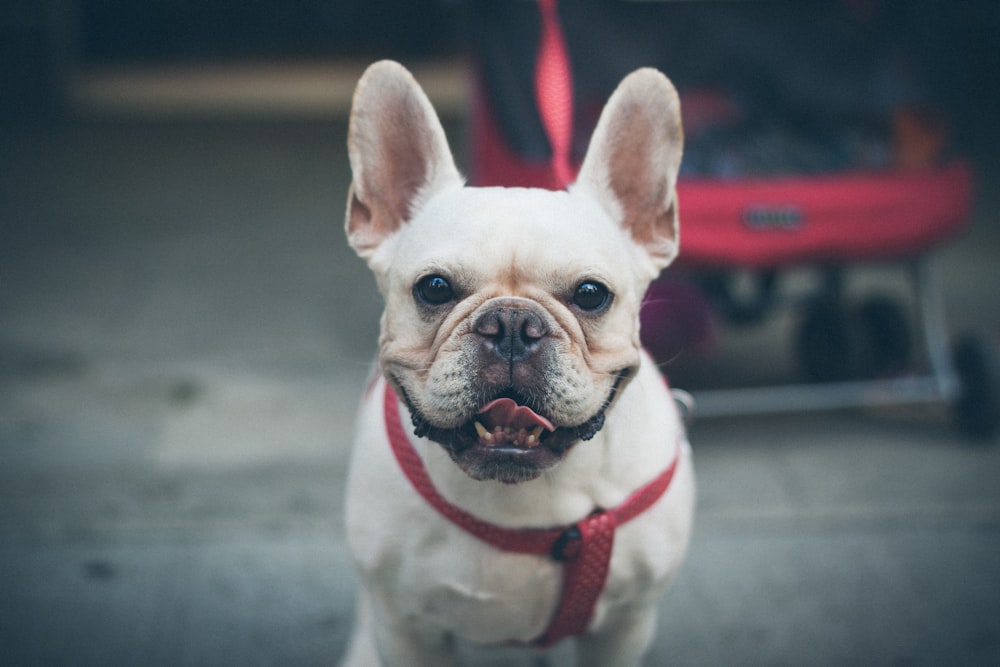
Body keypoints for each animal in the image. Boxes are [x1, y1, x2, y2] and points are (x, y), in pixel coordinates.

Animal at [340, 60, 692, 664]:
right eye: (434, 288)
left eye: (592, 294)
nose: (510, 326)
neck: (529, 497)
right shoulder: (405, 629)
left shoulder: (625, 626)